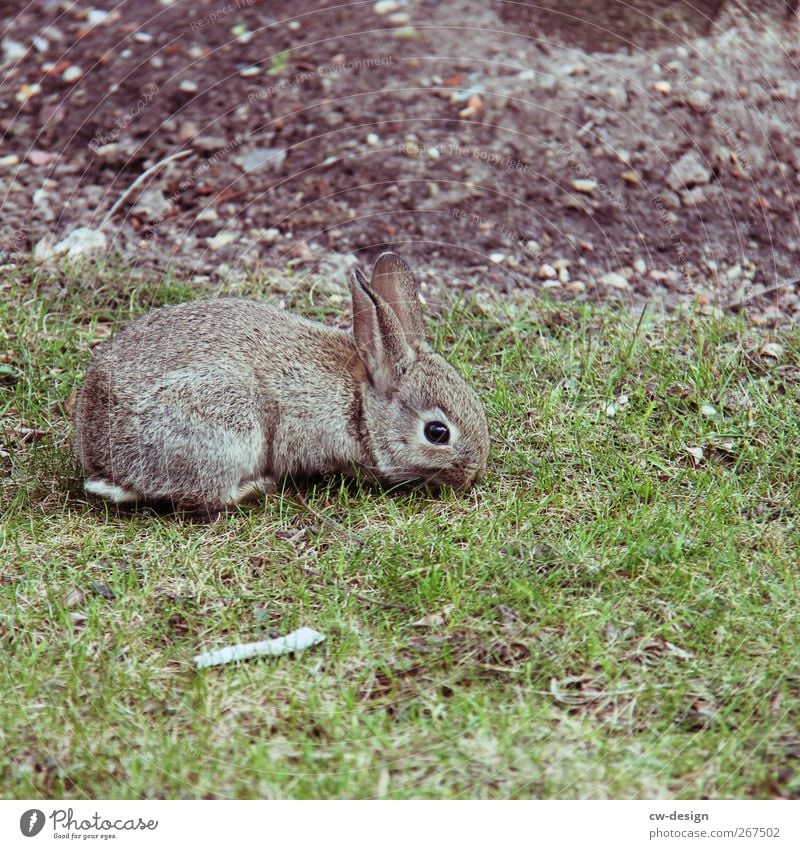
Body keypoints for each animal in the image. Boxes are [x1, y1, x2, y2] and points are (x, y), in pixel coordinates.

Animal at [73, 252, 488, 510]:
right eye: (437, 432)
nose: (472, 474)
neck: (361, 405)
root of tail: (107, 462)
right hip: (226, 427)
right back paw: (259, 487)